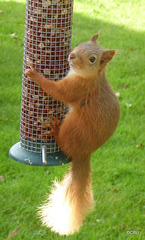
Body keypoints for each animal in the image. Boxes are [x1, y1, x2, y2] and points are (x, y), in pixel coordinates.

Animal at [25, 32, 120, 236]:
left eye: (92, 59)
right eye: (78, 44)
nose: (71, 56)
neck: (91, 77)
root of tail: (83, 153)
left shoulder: (78, 88)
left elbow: (58, 91)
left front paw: (36, 76)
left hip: (72, 126)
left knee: (63, 140)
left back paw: (55, 131)